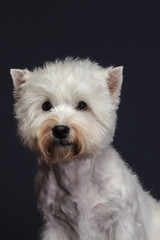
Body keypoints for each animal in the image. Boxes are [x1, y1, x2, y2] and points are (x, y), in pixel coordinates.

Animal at [10, 58, 159, 240]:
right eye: (46, 105)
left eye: (82, 105)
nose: (60, 130)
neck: (75, 171)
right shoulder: (55, 224)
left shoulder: (123, 222)